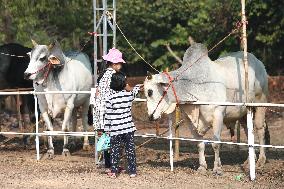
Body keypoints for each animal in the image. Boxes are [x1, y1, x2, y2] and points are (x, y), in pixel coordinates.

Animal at [144, 43, 268, 176]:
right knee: (248, 131)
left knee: (260, 129)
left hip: (260, 103)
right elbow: (200, 144)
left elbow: (215, 144)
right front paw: (202, 167)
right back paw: (249, 161)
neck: (194, 84)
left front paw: (217, 169)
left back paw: (261, 161)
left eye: (150, 92)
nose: (150, 116)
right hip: (243, 113)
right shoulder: (189, 119)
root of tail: (258, 62)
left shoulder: (218, 114)